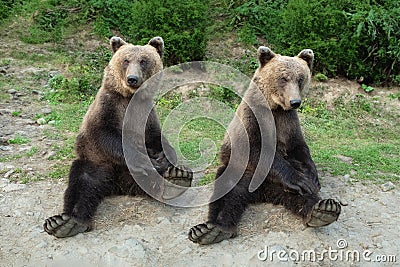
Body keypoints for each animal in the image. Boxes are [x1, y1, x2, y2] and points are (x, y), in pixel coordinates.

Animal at [44, 36, 194, 239]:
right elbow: (105, 135)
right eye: (126, 60)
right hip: (95, 163)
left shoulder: (147, 115)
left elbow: (157, 138)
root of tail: (118, 185)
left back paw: (177, 179)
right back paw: (66, 222)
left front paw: (165, 158)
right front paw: (149, 160)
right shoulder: (107, 107)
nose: (133, 79)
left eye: (143, 61)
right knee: (82, 184)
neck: (130, 97)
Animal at [188, 46, 340, 245]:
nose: (295, 102)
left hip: (278, 184)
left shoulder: (288, 123)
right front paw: (300, 179)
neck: (275, 107)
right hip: (240, 171)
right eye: (283, 78)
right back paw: (212, 229)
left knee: (304, 195)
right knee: (227, 192)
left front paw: (312, 176)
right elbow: (256, 150)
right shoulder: (253, 119)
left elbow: (299, 149)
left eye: (300, 78)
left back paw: (323, 210)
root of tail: (263, 192)